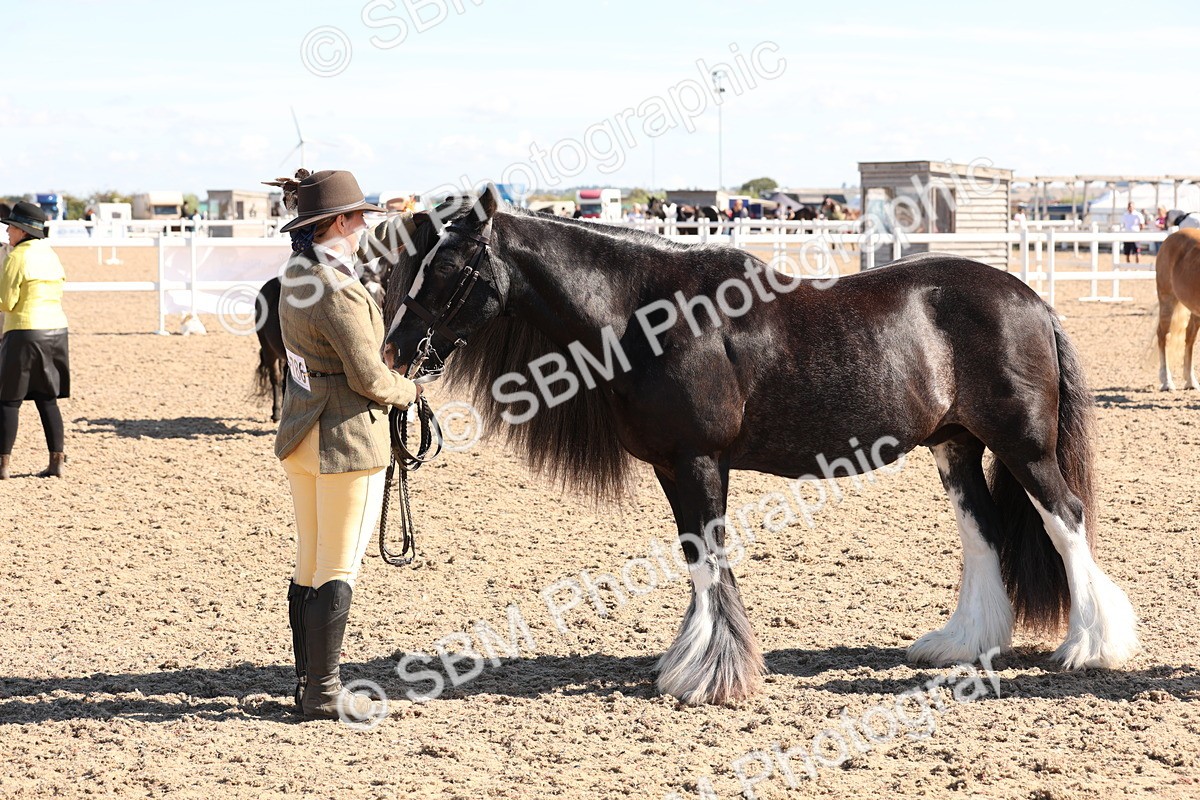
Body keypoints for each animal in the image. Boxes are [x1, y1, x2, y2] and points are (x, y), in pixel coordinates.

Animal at [380, 187, 1139, 706]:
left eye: (447, 269)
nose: (394, 350)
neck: (647, 314)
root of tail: (1031, 300)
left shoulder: (700, 460)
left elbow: (711, 555)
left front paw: (713, 675)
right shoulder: (672, 464)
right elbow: (695, 557)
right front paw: (695, 662)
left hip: (1024, 446)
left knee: (1066, 520)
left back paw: (1091, 646)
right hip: (954, 446)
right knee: (982, 532)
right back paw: (961, 644)